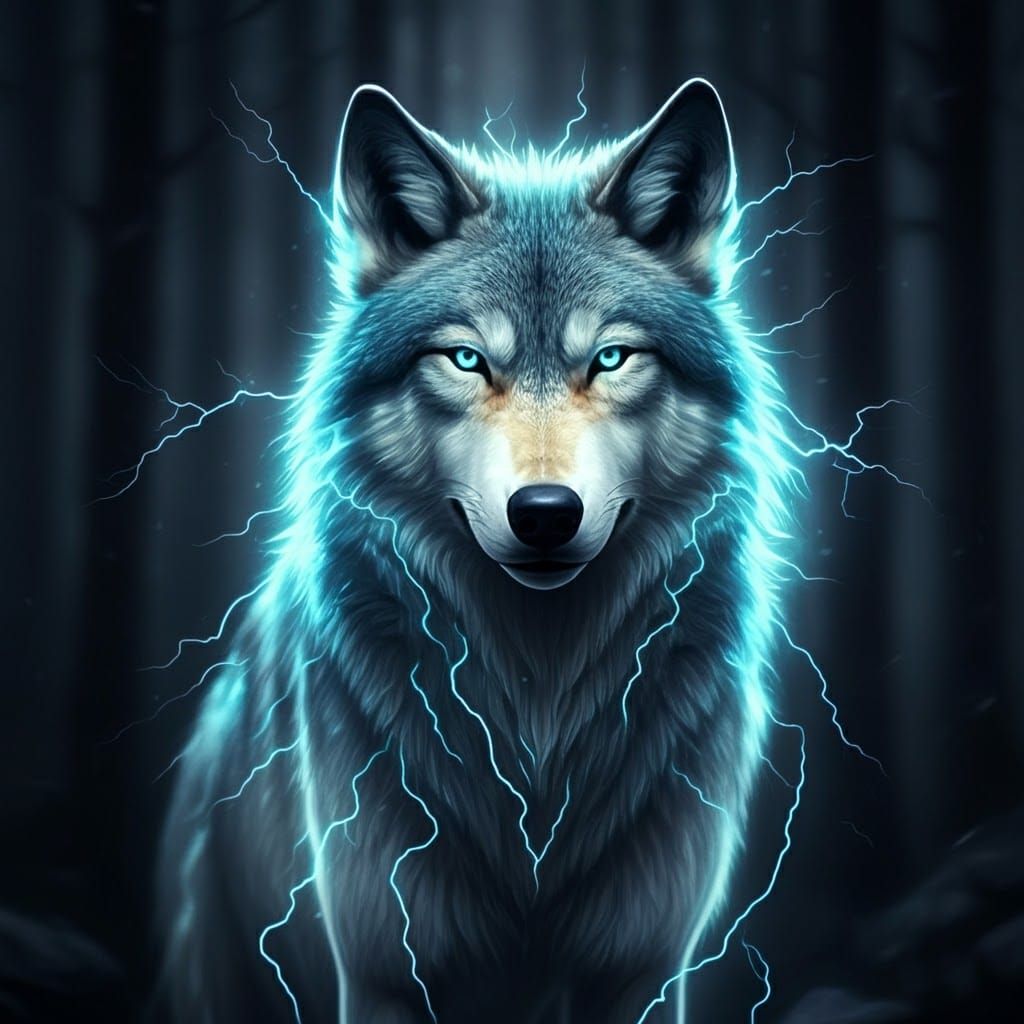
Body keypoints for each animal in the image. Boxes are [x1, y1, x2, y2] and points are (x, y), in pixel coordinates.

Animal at [159, 79, 792, 1024]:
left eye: (612, 358)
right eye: (464, 359)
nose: (545, 514)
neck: (537, 705)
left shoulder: (643, 967)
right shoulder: (385, 964)